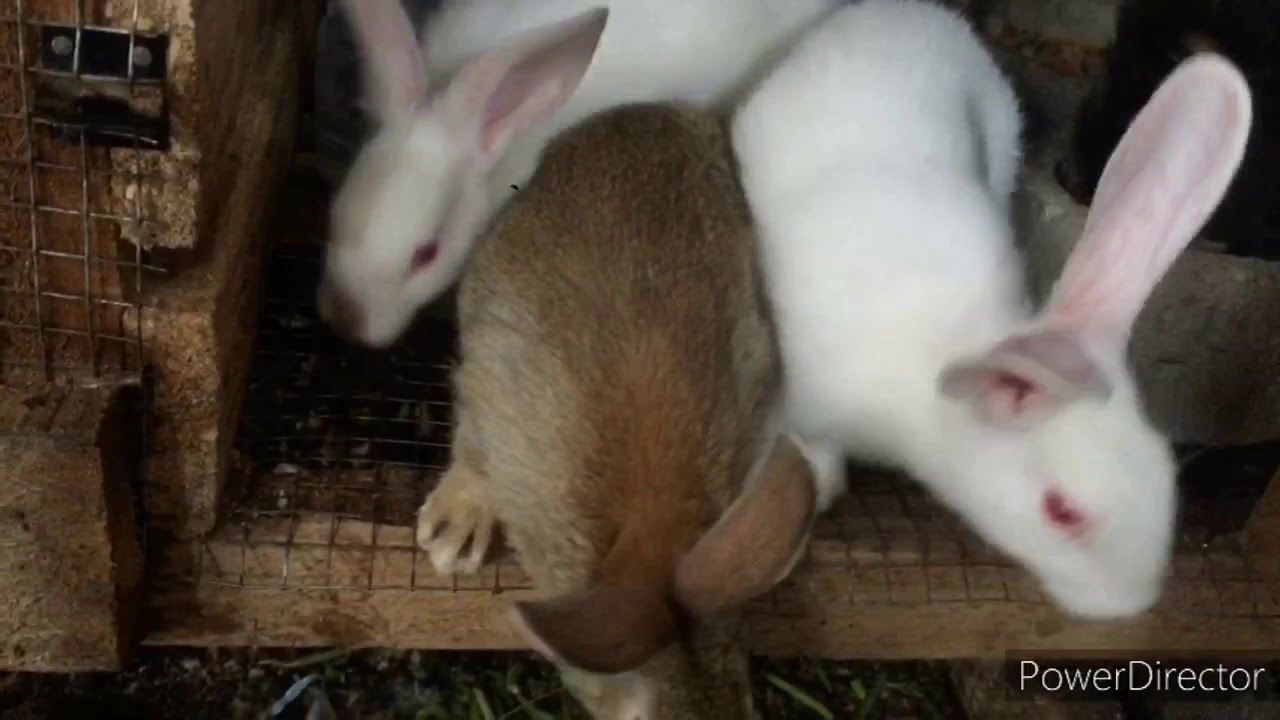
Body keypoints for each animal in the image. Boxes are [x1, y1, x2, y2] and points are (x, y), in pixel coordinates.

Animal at [413, 101, 819, 719]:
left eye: (747, 703)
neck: (645, 527)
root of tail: (640, 111)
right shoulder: (488, 385)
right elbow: (472, 452)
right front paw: (454, 534)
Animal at [731, 0, 1252, 619]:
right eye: (1062, 511)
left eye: (1167, 473)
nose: (1133, 603)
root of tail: (913, 14)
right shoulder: (806, 395)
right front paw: (818, 483)